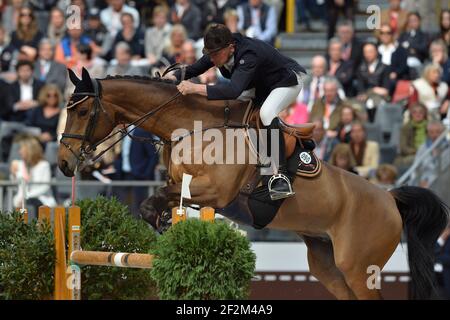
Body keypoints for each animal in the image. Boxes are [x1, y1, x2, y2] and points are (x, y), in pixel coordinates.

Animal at [58, 68, 448, 300]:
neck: (195, 126)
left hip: (358, 268)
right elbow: (160, 198)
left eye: (82, 111)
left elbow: (165, 196)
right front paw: (163, 221)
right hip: (328, 264)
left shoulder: (217, 192)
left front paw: (163, 219)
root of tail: (390, 199)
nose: (64, 163)